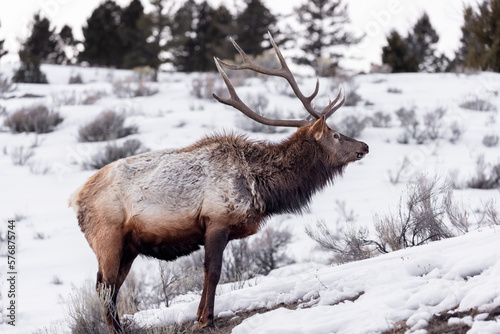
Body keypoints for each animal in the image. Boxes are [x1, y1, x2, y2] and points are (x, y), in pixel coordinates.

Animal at [68, 34, 370, 334]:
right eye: (335, 134)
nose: (364, 146)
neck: (261, 188)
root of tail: (76, 199)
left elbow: (207, 273)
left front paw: (201, 316)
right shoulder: (216, 220)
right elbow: (213, 272)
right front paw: (206, 320)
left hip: (129, 247)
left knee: (113, 287)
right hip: (107, 238)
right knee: (104, 287)